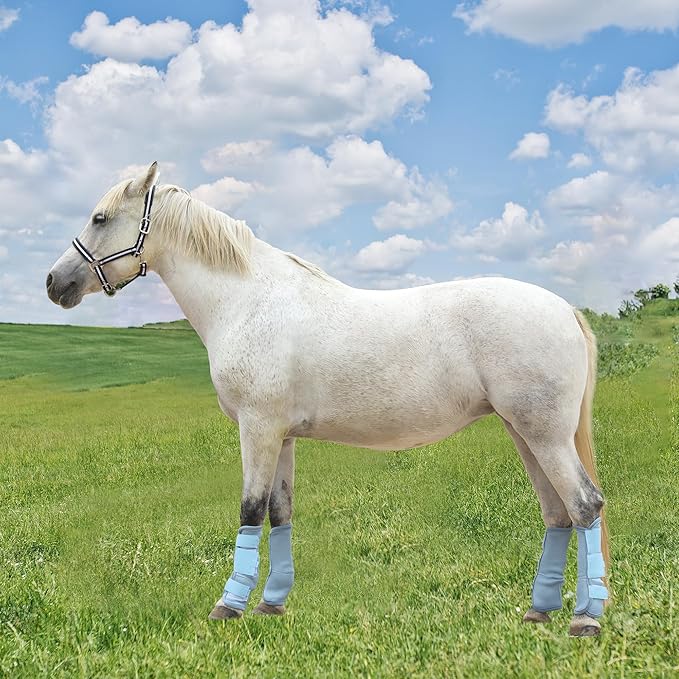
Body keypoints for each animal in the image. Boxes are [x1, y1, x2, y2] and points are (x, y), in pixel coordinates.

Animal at [46, 163, 609, 636]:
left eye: (100, 218)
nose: (55, 283)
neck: (246, 301)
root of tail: (564, 308)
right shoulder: (282, 437)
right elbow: (280, 513)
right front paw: (271, 604)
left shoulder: (257, 429)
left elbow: (250, 510)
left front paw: (229, 607)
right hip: (525, 433)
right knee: (558, 513)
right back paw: (540, 612)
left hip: (545, 436)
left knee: (585, 506)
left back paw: (586, 620)